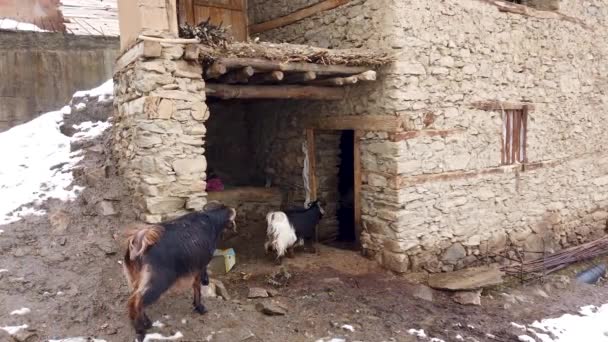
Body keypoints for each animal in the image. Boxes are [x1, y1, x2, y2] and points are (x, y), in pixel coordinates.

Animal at [122, 202, 236, 340]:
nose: (207, 282)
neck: (211, 220)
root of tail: (138, 243)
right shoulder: (199, 266)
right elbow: (196, 286)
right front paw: (200, 307)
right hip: (158, 281)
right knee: (137, 301)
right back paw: (141, 331)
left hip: (136, 278)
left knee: (136, 298)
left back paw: (147, 323)